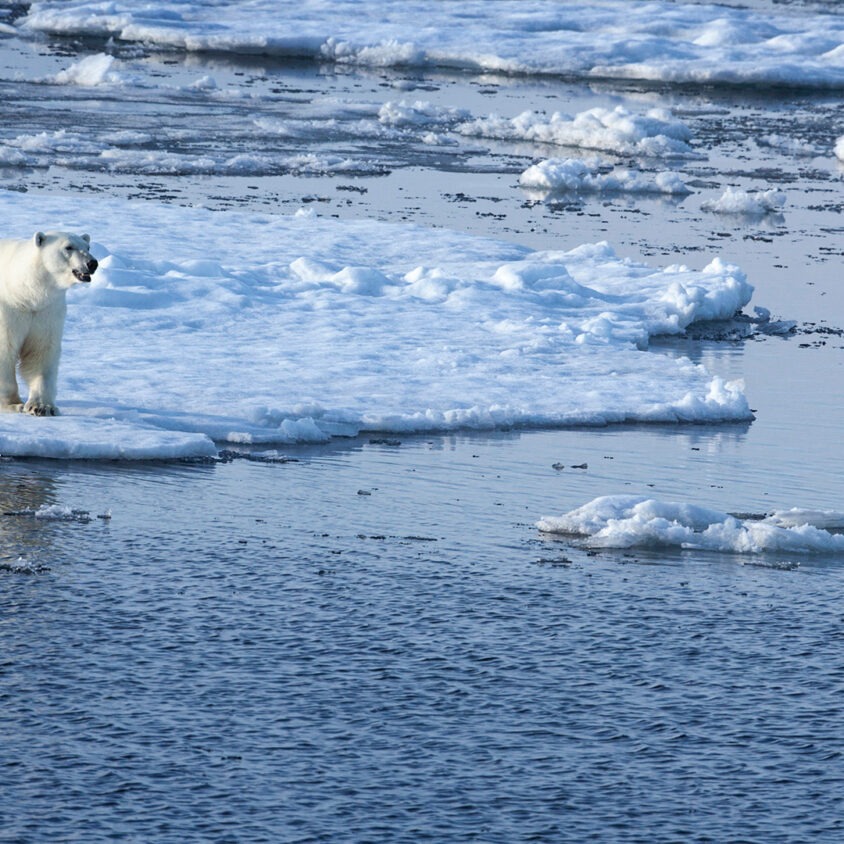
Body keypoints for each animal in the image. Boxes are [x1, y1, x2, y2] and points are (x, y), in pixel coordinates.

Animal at [0, 231, 97, 416]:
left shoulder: (46, 312)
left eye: (88, 247)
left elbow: (41, 352)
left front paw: (42, 407)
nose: (92, 263)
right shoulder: (10, 308)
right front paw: (13, 404)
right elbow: (5, 348)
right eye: (68, 247)